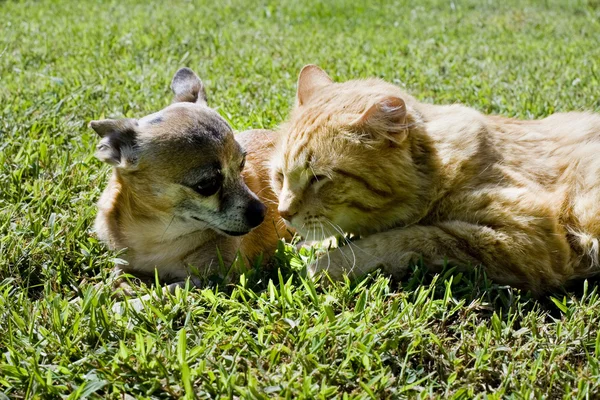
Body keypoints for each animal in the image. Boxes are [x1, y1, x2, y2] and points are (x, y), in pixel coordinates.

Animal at [89, 67, 290, 296]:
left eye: (242, 164)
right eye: (207, 184)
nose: (262, 211)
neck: (157, 236)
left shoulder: (211, 279)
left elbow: (160, 293)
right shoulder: (123, 264)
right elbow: (112, 279)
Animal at [270, 63, 600, 294]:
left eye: (319, 178)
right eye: (280, 176)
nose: (283, 213)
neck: (438, 169)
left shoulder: (528, 238)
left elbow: (406, 236)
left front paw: (326, 264)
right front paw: (307, 247)